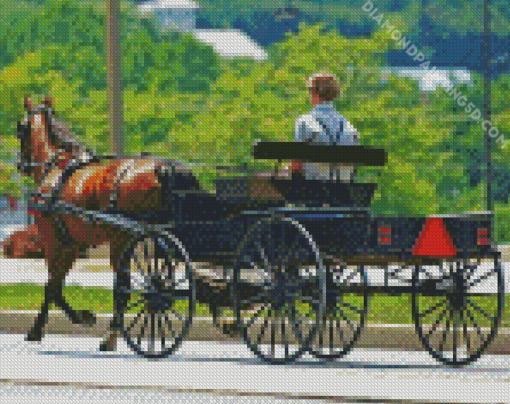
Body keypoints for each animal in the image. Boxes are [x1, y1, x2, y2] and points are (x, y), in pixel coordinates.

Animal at [15, 97, 199, 350]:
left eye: (19, 128)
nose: (20, 164)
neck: (56, 167)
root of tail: (164, 167)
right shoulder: (72, 245)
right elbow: (55, 286)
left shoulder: (55, 243)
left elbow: (52, 287)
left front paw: (71, 320)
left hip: (121, 240)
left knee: (124, 287)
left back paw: (111, 335)